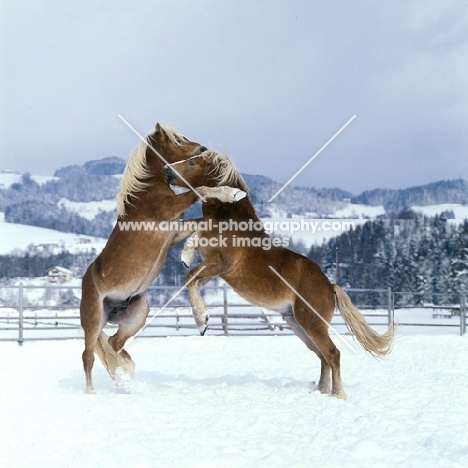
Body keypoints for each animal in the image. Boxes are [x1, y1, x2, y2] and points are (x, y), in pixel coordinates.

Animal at [80, 123, 245, 392]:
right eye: (177, 140)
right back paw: (91, 393)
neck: (146, 193)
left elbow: (201, 222)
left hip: (138, 312)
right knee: (88, 356)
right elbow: (200, 190)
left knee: (115, 345)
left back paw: (126, 381)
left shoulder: (174, 231)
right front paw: (232, 194)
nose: (203, 149)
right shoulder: (171, 211)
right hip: (93, 321)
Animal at [163, 152, 394, 400]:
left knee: (333, 354)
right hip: (298, 325)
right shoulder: (213, 269)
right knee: (322, 356)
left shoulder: (220, 264)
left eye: (192, 162)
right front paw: (186, 257)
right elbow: (193, 261)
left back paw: (338, 395)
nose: (166, 171)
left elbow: (189, 275)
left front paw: (202, 322)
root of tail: (330, 285)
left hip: (312, 324)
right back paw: (320, 391)